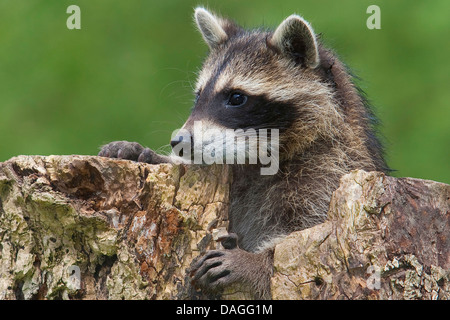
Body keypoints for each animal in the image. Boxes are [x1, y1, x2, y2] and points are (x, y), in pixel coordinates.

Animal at [99, 6, 390, 298]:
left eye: (236, 98)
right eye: (199, 95)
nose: (180, 142)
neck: (261, 155)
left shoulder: (330, 168)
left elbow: (306, 239)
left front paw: (255, 263)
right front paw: (154, 155)